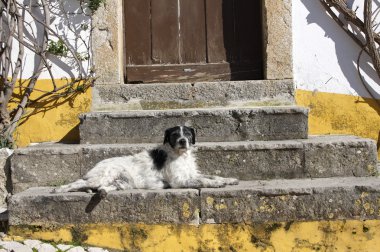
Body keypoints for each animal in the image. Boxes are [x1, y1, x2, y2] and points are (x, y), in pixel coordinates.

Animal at [53, 125, 238, 198]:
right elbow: (204, 181)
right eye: (174, 135)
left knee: (102, 188)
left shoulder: (191, 174)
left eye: (187, 133)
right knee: (77, 183)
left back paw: (101, 192)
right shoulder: (179, 181)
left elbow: (211, 175)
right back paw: (60, 189)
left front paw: (229, 179)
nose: (183, 141)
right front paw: (217, 184)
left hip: (122, 182)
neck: (181, 155)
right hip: (103, 176)